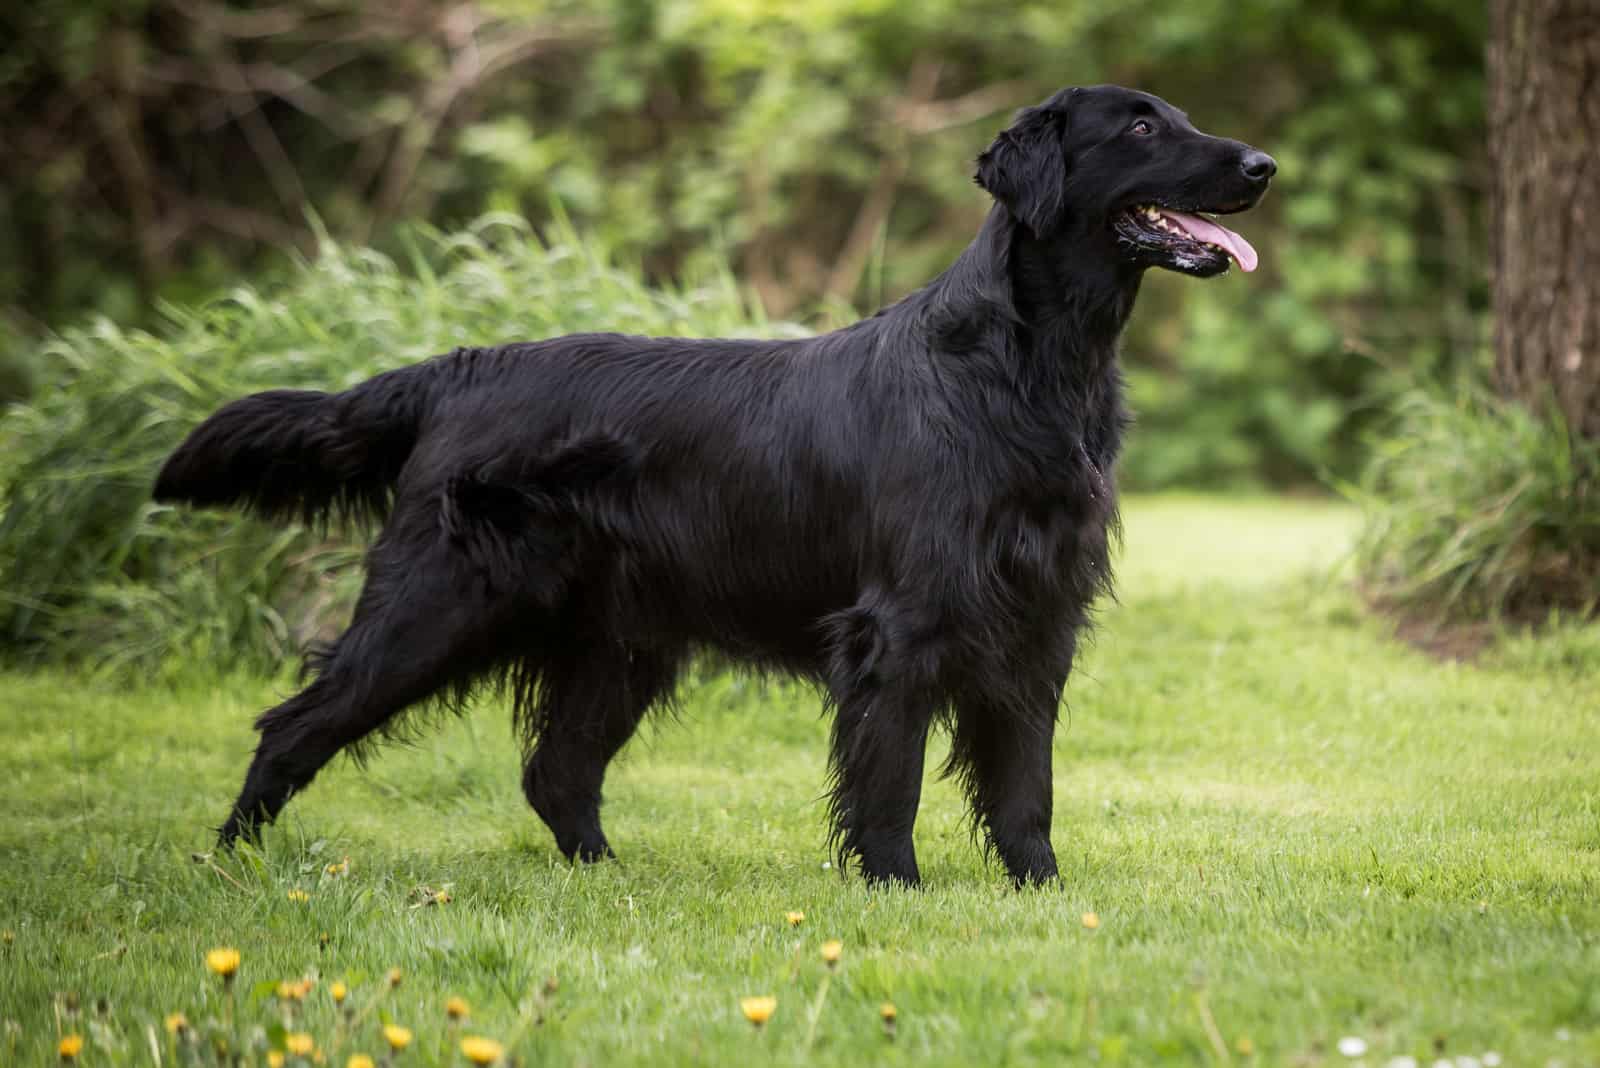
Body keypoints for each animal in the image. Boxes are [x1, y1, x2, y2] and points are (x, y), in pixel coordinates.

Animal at [152, 81, 1273, 882]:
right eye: (1140, 125)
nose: (1264, 164)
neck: (1029, 368)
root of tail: (459, 367)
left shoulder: (1041, 618)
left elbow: (1024, 785)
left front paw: (1042, 892)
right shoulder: (903, 627)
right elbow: (891, 783)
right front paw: (894, 890)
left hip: (617, 643)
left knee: (556, 773)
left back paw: (607, 879)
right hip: (436, 603)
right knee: (294, 727)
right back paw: (230, 864)